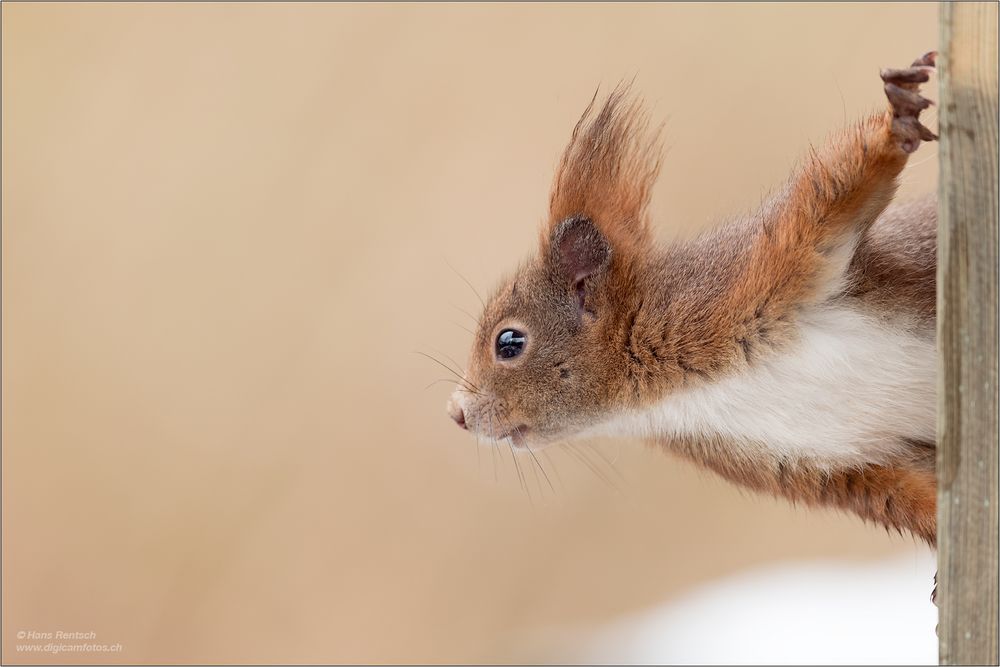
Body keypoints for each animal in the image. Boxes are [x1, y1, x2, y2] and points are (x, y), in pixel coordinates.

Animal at [446, 53, 936, 548]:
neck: (667, 397)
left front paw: (896, 120)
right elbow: (904, 495)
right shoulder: (815, 466)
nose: (457, 413)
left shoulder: (745, 279)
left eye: (509, 342)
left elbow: (830, 195)